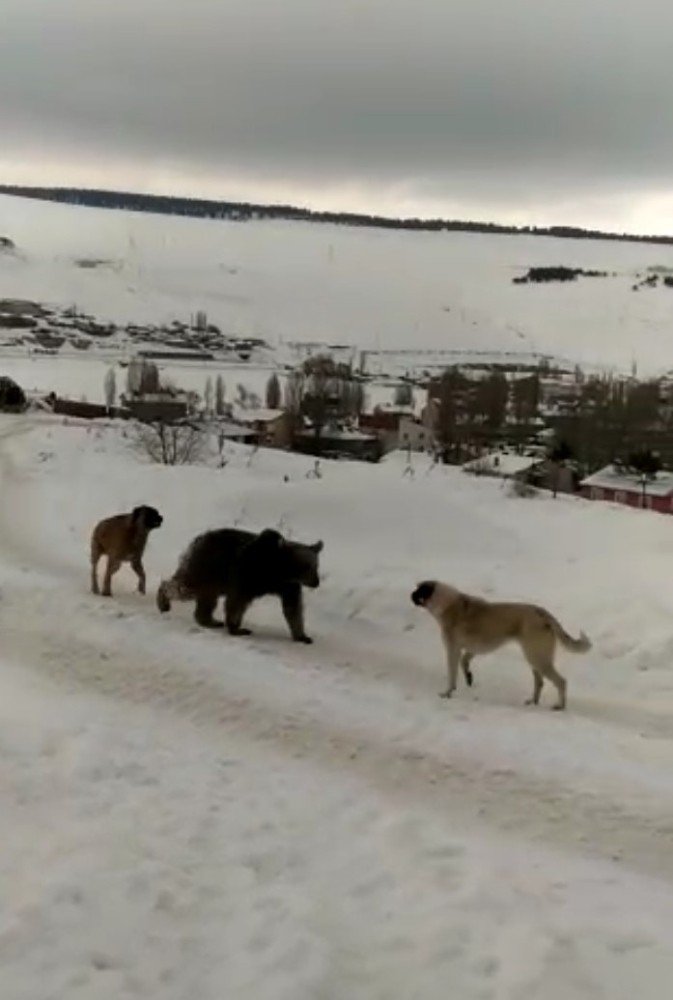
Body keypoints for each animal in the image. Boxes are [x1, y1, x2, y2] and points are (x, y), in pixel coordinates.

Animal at [412, 580, 592, 712]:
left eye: (419, 591)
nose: (410, 595)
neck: (447, 603)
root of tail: (543, 613)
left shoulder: (453, 649)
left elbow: (452, 674)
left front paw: (448, 693)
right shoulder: (472, 648)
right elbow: (465, 662)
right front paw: (469, 677)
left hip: (538, 657)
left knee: (561, 681)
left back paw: (560, 706)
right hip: (534, 658)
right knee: (539, 682)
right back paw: (533, 702)